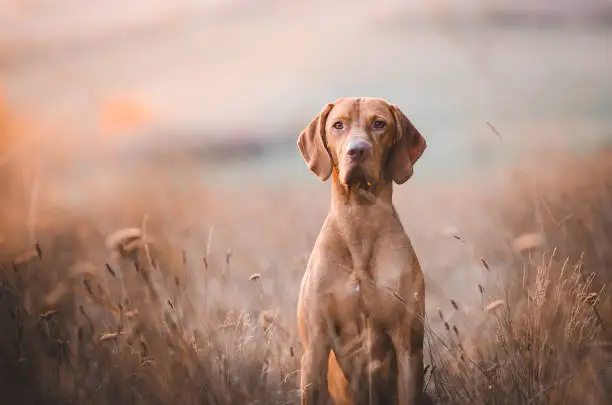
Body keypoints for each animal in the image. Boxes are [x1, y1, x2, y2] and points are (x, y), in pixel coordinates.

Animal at [296, 98, 426, 404]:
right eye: (337, 125)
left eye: (379, 123)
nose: (357, 150)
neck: (360, 220)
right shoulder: (315, 348)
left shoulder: (409, 347)